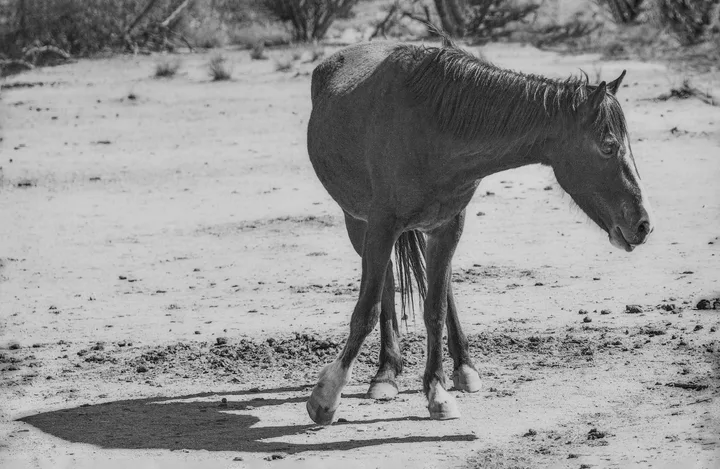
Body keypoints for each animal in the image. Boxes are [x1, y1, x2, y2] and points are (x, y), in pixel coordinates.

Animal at [304, 39, 653, 425]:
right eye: (608, 146)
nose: (642, 224)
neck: (431, 127)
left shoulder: (449, 225)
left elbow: (435, 309)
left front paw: (436, 391)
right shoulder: (380, 225)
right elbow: (366, 309)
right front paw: (326, 395)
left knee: (439, 289)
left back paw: (461, 368)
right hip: (357, 223)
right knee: (387, 283)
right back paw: (386, 374)